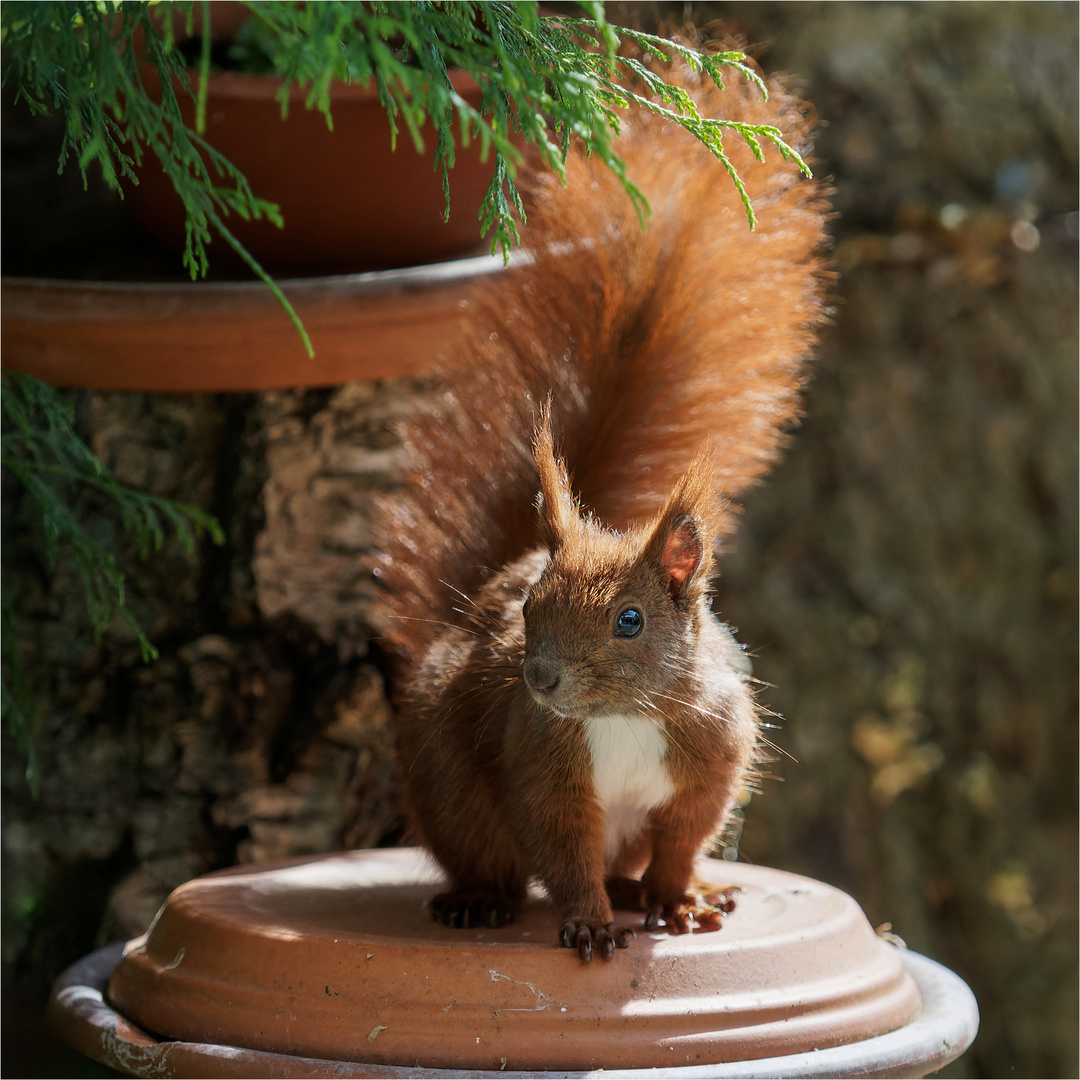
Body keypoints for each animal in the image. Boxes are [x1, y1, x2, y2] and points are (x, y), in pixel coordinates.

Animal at [375, 48, 829, 963]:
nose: (541, 678)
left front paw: (679, 900)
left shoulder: (710, 756)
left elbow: (683, 841)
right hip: (450, 780)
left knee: (632, 859)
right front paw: (586, 920)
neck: (621, 715)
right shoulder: (542, 768)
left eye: (631, 620)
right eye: (529, 609)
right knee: (497, 862)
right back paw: (480, 901)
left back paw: (660, 893)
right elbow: (562, 852)